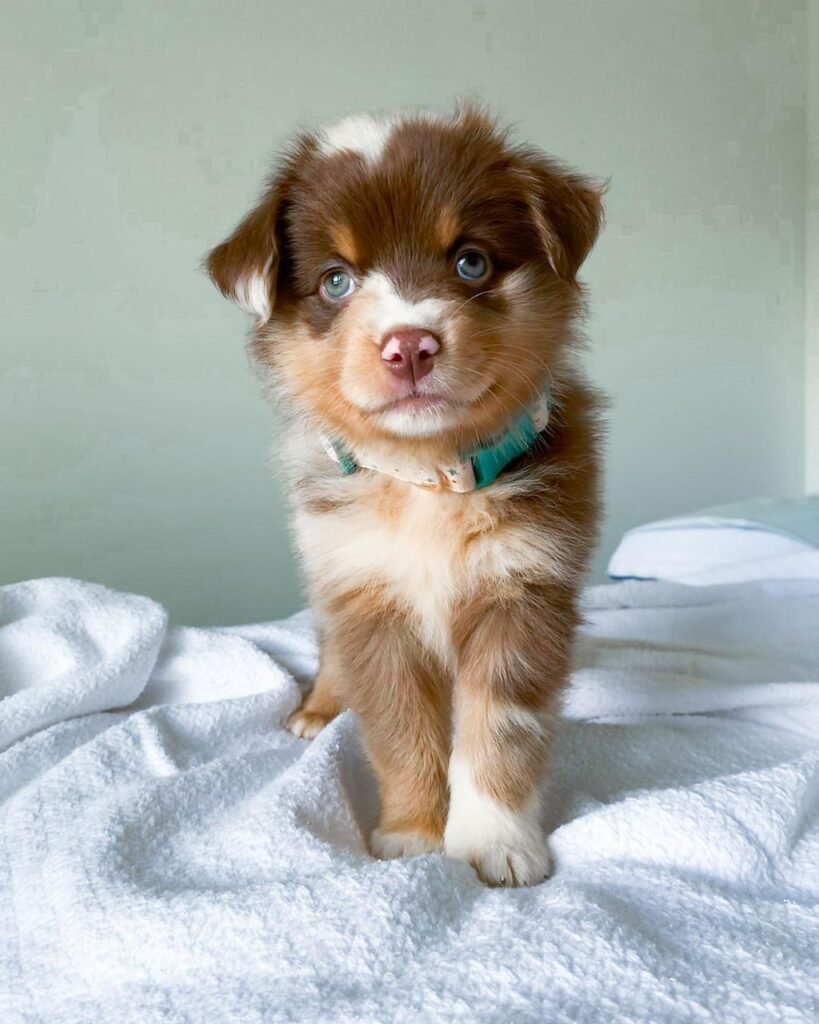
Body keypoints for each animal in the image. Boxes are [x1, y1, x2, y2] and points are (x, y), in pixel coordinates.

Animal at [206, 106, 603, 886]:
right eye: (335, 280)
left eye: (470, 262)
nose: (409, 346)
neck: (429, 480)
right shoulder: (367, 596)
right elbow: (398, 730)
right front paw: (414, 837)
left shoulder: (523, 590)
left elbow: (500, 730)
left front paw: (494, 843)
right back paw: (319, 706)